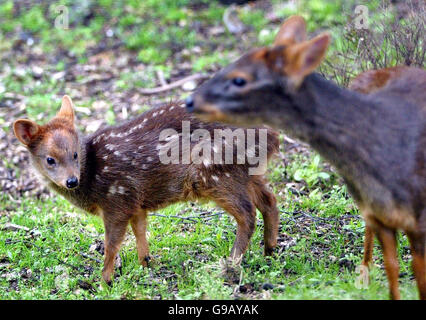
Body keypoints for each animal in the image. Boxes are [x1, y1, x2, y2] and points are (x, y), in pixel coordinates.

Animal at [13, 95, 280, 282]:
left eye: (75, 154)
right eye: (50, 159)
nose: (71, 181)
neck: (93, 177)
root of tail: (273, 136)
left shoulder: (117, 199)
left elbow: (111, 244)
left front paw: (105, 281)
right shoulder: (136, 202)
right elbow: (140, 230)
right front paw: (146, 264)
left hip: (214, 172)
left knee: (247, 213)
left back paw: (231, 264)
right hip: (245, 172)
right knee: (269, 200)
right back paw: (269, 251)